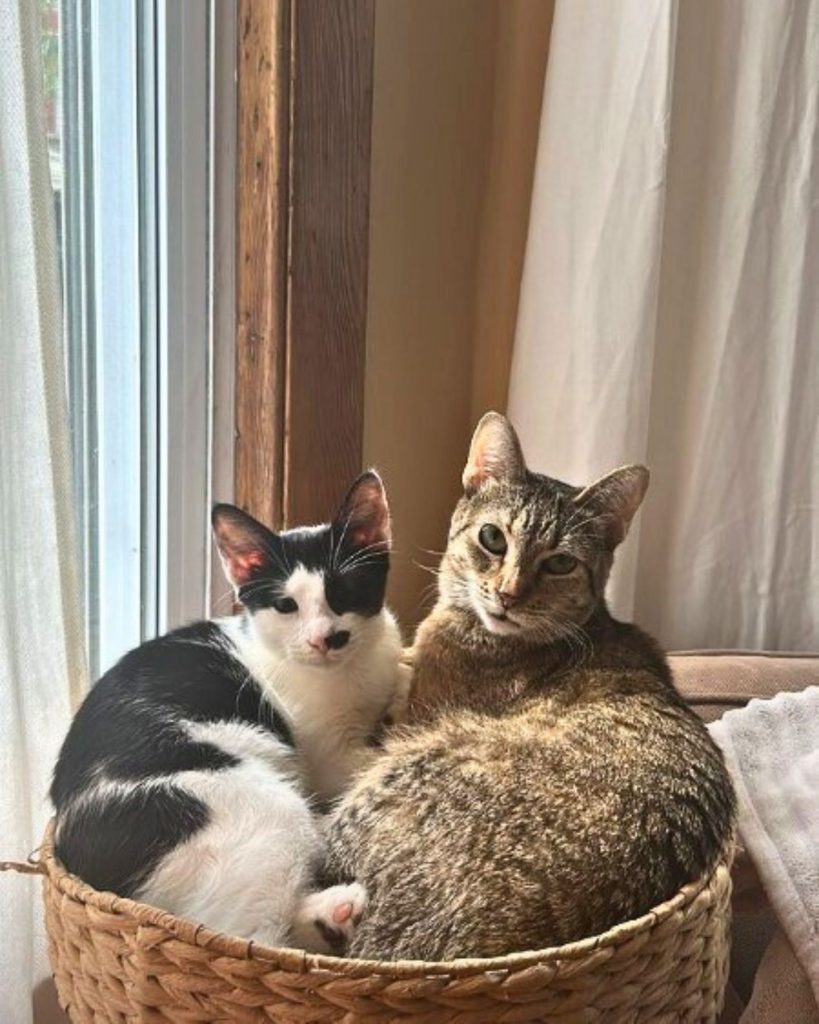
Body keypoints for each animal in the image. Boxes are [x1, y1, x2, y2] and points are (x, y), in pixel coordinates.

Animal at [51, 471, 405, 950]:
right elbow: (367, 759)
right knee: (247, 936)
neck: (351, 669)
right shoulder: (328, 756)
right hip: (261, 806)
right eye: (286, 605)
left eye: (344, 589)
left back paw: (332, 914)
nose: (325, 638)